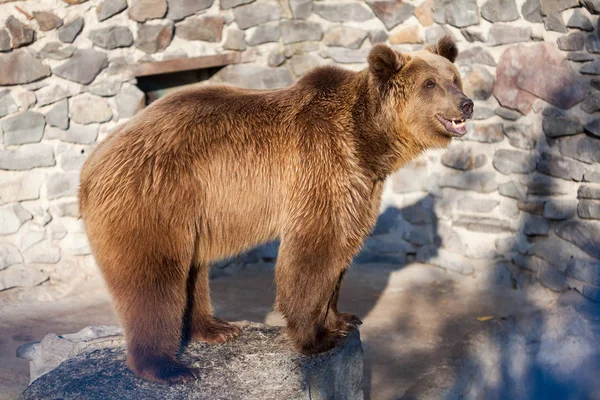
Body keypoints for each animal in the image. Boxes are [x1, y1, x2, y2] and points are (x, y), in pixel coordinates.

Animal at [78, 37, 474, 384]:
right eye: (430, 83)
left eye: (454, 77)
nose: (467, 103)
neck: (369, 140)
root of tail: (94, 161)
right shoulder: (322, 164)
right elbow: (314, 250)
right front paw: (316, 338)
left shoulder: (361, 185)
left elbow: (343, 249)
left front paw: (342, 319)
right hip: (153, 196)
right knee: (153, 278)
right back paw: (167, 367)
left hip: (190, 210)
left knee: (192, 270)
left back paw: (216, 328)